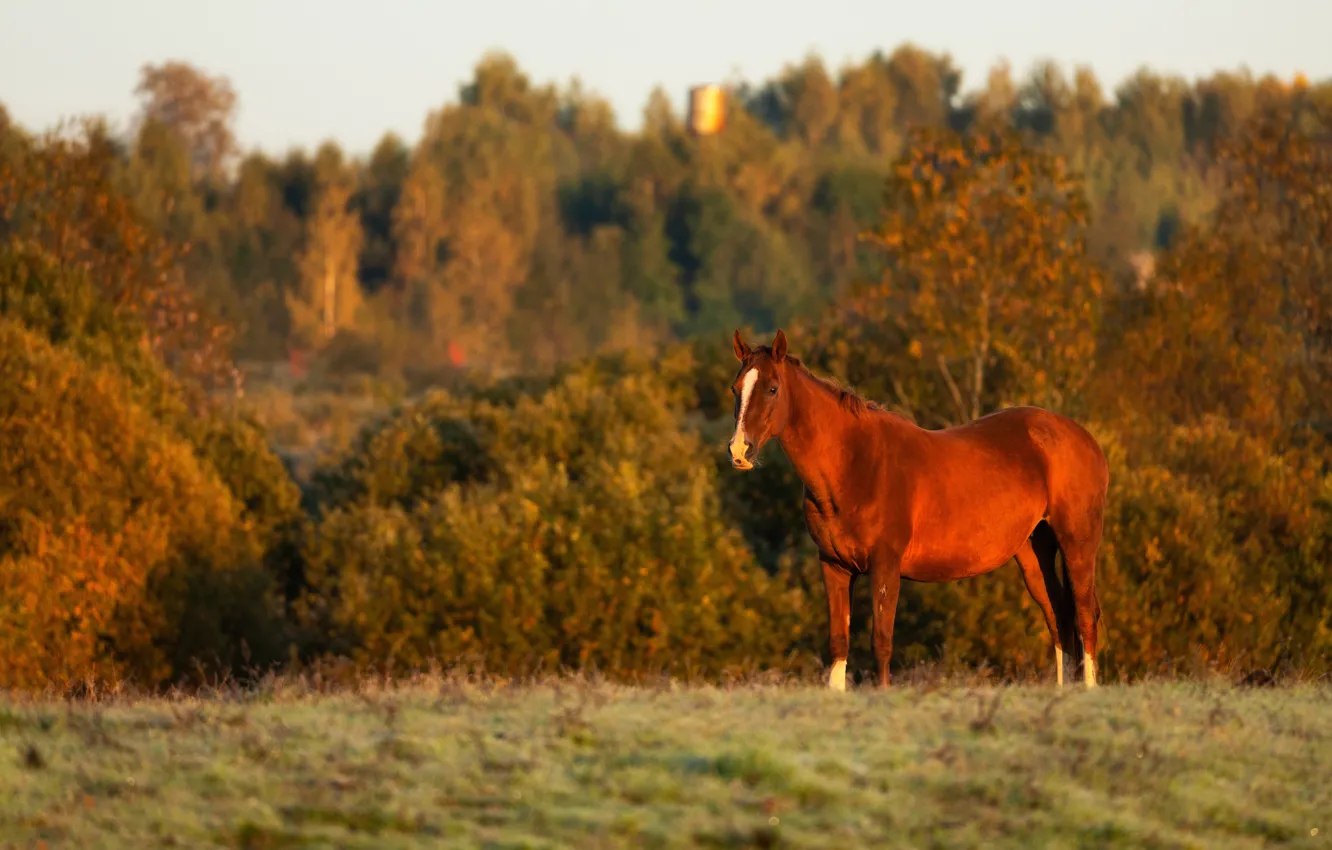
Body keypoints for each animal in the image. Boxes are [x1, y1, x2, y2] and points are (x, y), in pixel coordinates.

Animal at [724, 327, 1108, 692]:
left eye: (773, 389)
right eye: (735, 389)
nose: (740, 451)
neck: (855, 462)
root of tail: (1085, 438)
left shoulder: (885, 567)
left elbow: (881, 642)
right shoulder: (833, 566)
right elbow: (838, 643)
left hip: (1077, 543)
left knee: (1084, 615)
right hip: (1033, 552)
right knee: (1058, 616)